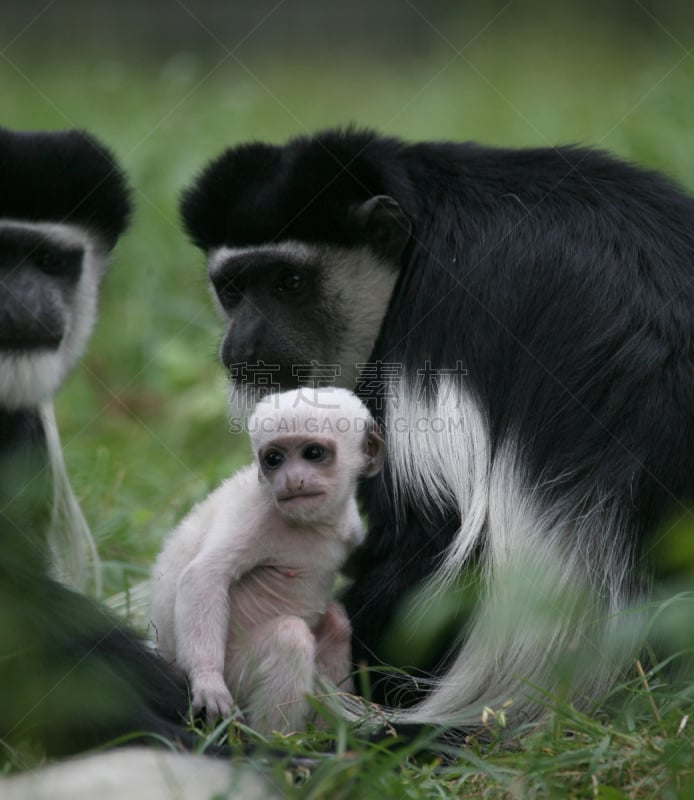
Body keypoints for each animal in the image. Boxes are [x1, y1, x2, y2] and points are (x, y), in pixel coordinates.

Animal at [150, 390, 386, 736]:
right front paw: (208, 682)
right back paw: (275, 740)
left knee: (336, 625)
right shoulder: (258, 515)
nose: (291, 480)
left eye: (313, 453)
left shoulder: (349, 525)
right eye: (274, 459)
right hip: (237, 670)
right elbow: (203, 576)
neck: (313, 526)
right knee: (290, 638)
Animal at [181, 130, 694, 732]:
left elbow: (430, 530)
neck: (422, 226)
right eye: (233, 289)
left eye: (291, 283)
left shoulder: (428, 336)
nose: (241, 345)